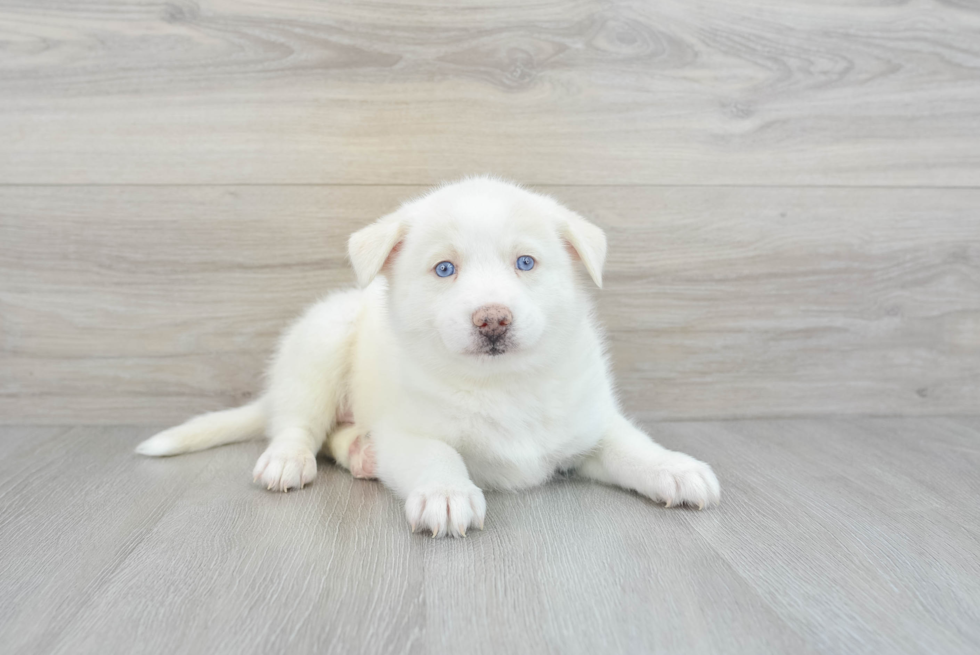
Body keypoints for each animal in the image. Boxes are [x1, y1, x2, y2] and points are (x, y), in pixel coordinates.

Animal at [138, 176, 720, 540]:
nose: (492, 319)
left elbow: (631, 445)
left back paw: (360, 454)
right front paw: (446, 493)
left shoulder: (591, 422)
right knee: (298, 424)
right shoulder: (408, 431)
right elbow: (437, 455)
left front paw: (674, 467)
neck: (502, 383)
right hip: (319, 344)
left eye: (525, 262)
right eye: (445, 269)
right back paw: (290, 460)